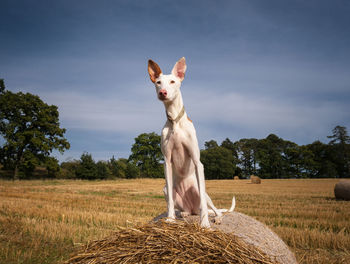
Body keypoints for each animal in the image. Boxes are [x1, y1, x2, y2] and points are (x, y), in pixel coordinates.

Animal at [148, 57, 235, 227]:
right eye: (158, 82)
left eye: (173, 81)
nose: (163, 93)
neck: (175, 122)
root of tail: (192, 207)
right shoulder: (166, 162)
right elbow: (169, 203)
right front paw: (170, 218)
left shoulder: (197, 161)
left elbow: (204, 205)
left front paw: (205, 224)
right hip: (167, 190)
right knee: (180, 205)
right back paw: (183, 213)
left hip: (203, 194)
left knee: (213, 208)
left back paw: (216, 217)